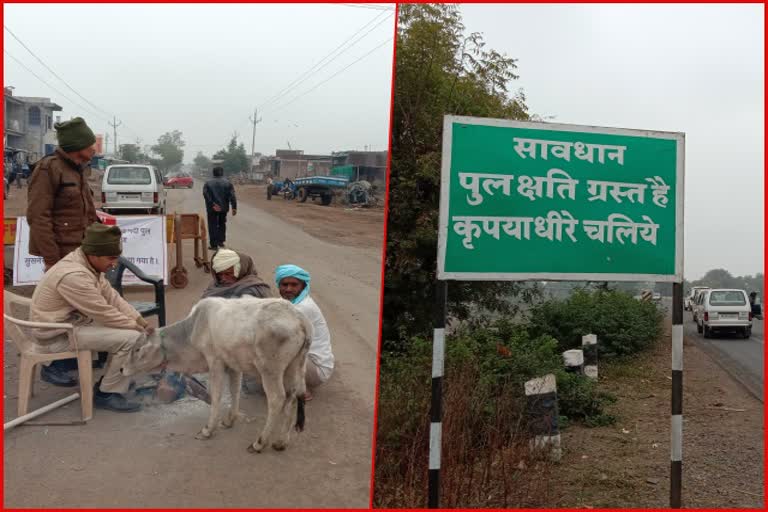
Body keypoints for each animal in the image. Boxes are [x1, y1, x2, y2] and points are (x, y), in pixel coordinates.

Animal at [121, 296, 310, 452]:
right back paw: (281, 442)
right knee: (293, 398)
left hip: (270, 371)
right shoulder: (234, 366)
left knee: (277, 399)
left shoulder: (215, 363)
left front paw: (208, 430)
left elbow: (216, 396)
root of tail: (299, 318)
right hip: (293, 368)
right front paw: (229, 420)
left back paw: (259, 443)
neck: (192, 328)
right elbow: (235, 391)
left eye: (138, 349)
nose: (122, 369)